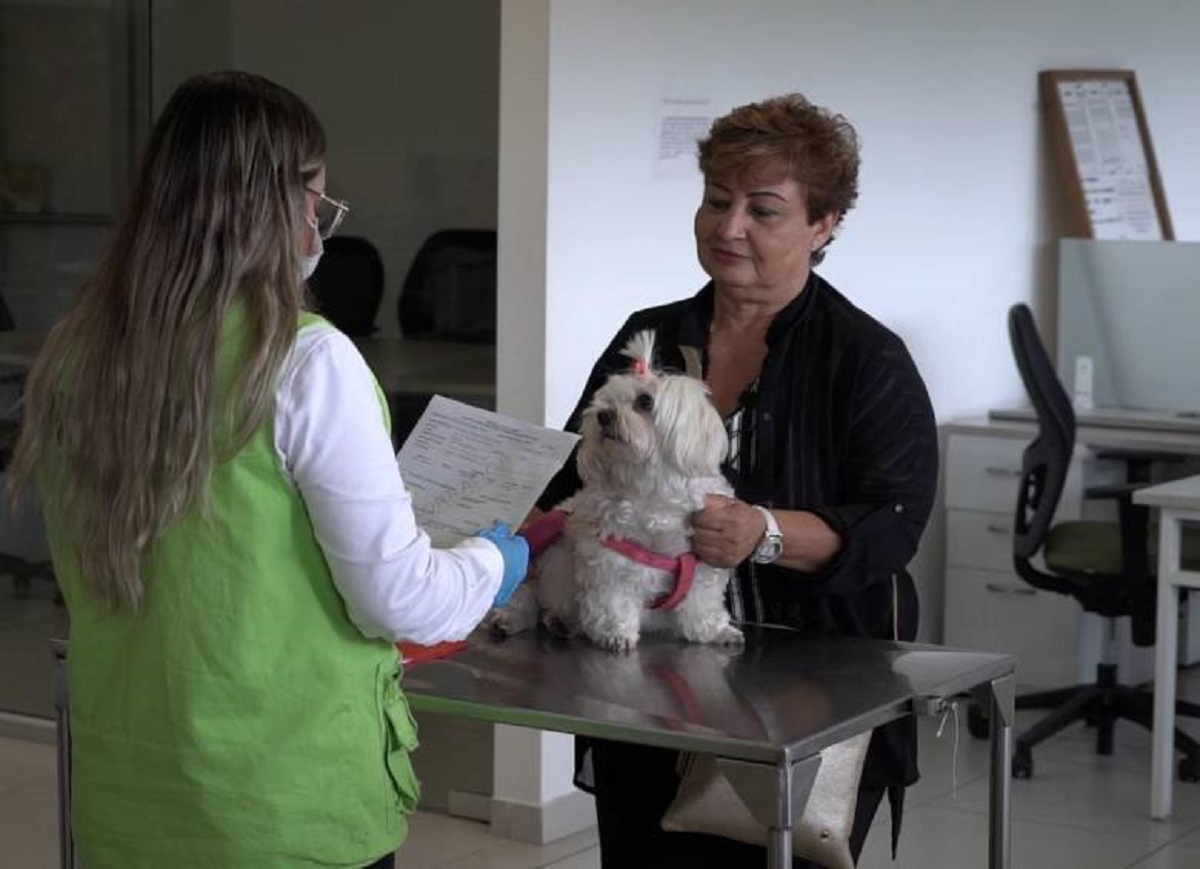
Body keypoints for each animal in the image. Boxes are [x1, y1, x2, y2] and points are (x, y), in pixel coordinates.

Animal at [487, 331, 739, 652]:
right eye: (606, 401)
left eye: (645, 401)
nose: (604, 416)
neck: (649, 485)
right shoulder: (610, 557)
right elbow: (613, 600)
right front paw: (616, 634)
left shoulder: (701, 563)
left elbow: (702, 603)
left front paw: (715, 631)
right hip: (533, 569)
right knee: (524, 597)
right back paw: (510, 618)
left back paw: (560, 622)